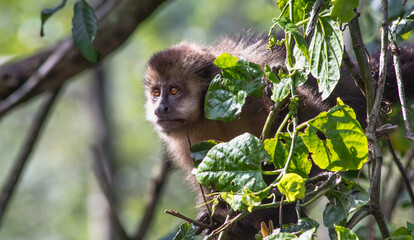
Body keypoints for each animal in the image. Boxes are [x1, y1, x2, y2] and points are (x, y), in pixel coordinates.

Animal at [143, 34, 414, 239]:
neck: (204, 115)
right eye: (156, 93)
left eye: (174, 91)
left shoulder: (247, 85)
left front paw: (284, 106)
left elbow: (317, 129)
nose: (160, 109)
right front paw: (218, 218)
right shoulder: (182, 141)